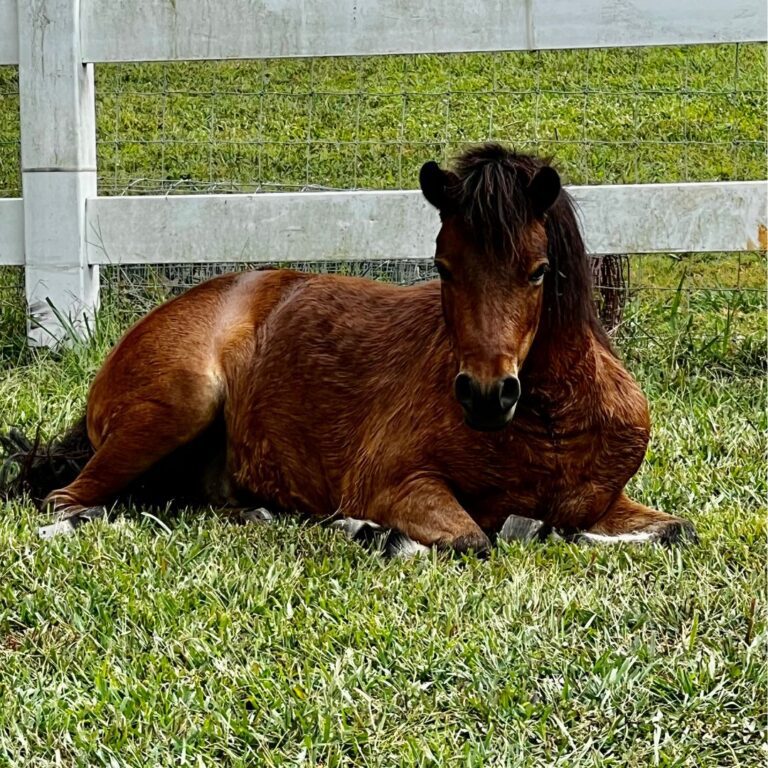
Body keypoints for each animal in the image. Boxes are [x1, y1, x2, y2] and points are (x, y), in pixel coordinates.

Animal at [4, 143, 696, 553]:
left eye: (538, 271)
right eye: (443, 267)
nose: (485, 395)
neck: (549, 427)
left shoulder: (604, 503)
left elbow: (674, 530)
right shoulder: (399, 483)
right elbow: (476, 538)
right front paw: (374, 529)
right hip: (180, 403)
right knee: (72, 500)